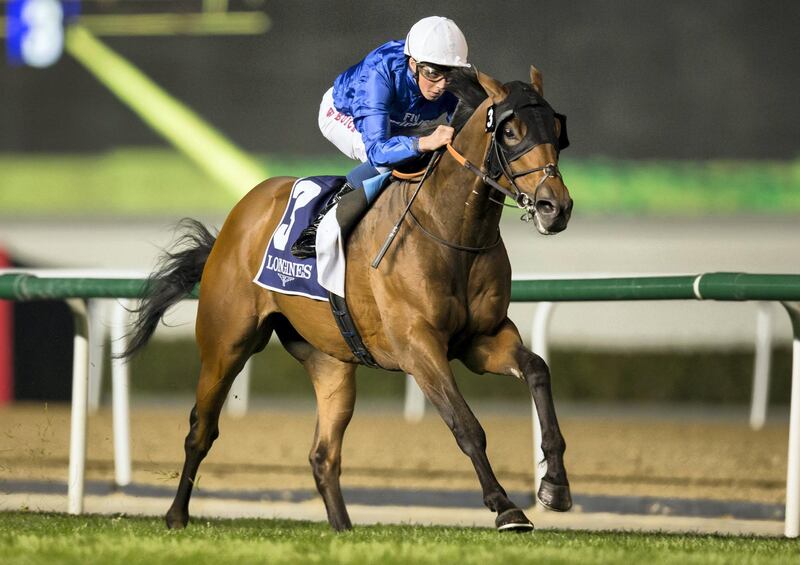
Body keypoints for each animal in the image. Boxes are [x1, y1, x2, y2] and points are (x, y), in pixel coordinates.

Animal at [123, 67, 576, 532]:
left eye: (557, 132)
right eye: (511, 131)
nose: (555, 206)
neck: (450, 231)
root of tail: (238, 217)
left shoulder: (481, 340)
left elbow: (537, 370)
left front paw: (555, 486)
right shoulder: (418, 347)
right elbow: (466, 426)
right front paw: (505, 506)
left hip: (330, 363)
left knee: (322, 454)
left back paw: (342, 526)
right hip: (226, 343)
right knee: (201, 430)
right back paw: (176, 514)